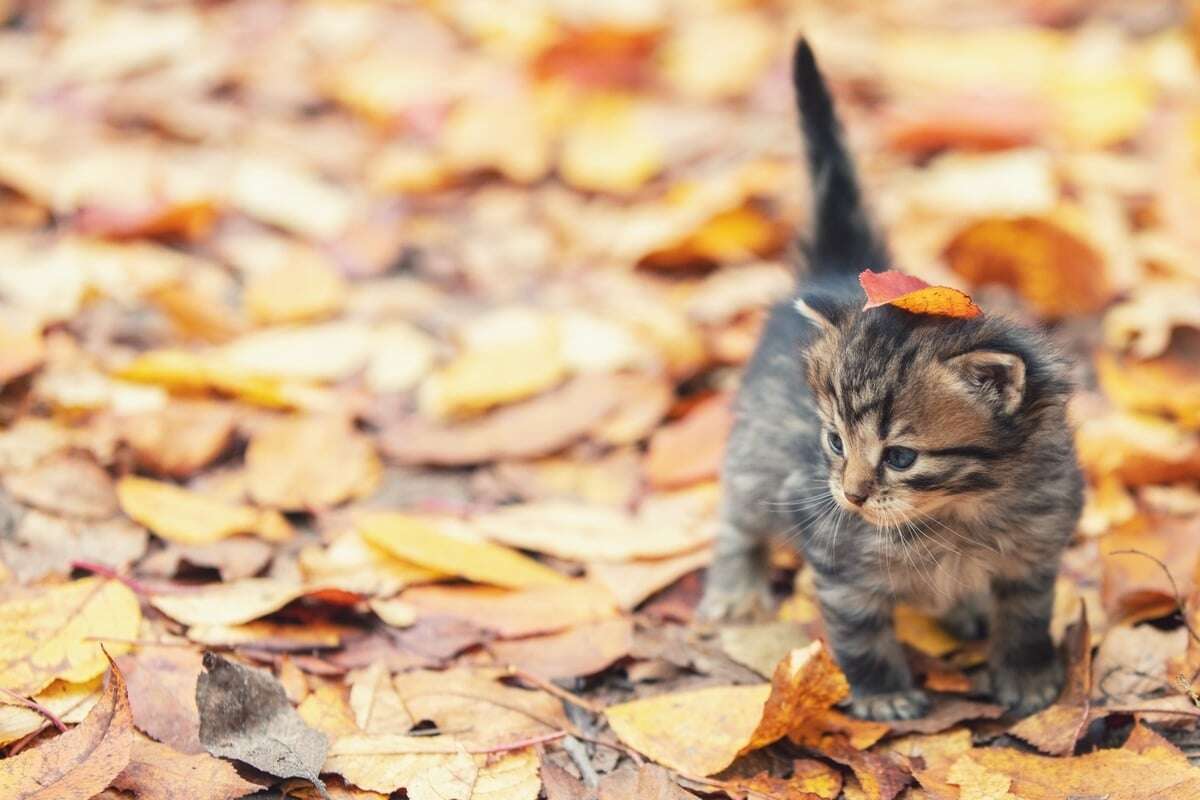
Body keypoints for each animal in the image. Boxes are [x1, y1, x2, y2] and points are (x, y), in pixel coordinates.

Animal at [700, 40, 1084, 724]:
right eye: (834, 443)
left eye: (901, 457)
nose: (851, 495)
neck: (959, 512)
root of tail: (835, 267)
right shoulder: (835, 556)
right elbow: (859, 631)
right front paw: (883, 695)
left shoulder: (1037, 552)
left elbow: (1025, 619)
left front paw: (1029, 677)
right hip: (754, 455)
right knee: (738, 515)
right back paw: (734, 586)